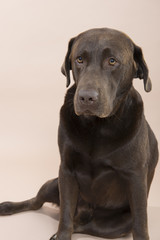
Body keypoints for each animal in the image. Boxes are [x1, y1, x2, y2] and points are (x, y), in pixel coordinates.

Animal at [0, 28, 158, 240]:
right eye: (80, 59)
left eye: (112, 61)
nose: (86, 97)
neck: (98, 127)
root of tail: (84, 212)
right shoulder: (66, 170)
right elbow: (65, 214)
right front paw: (62, 234)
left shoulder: (136, 177)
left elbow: (141, 223)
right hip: (52, 184)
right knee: (38, 203)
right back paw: (8, 207)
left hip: (117, 225)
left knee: (83, 225)